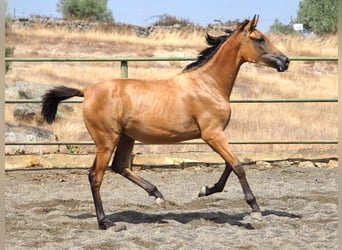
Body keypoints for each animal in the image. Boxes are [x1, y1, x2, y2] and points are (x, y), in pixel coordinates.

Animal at [41, 15, 290, 229]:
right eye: (259, 39)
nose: (285, 61)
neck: (208, 84)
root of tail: (86, 91)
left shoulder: (217, 134)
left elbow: (231, 164)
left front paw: (206, 190)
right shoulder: (212, 134)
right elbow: (237, 166)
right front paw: (255, 209)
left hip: (126, 137)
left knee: (120, 166)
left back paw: (157, 195)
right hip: (106, 141)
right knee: (96, 176)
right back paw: (105, 222)